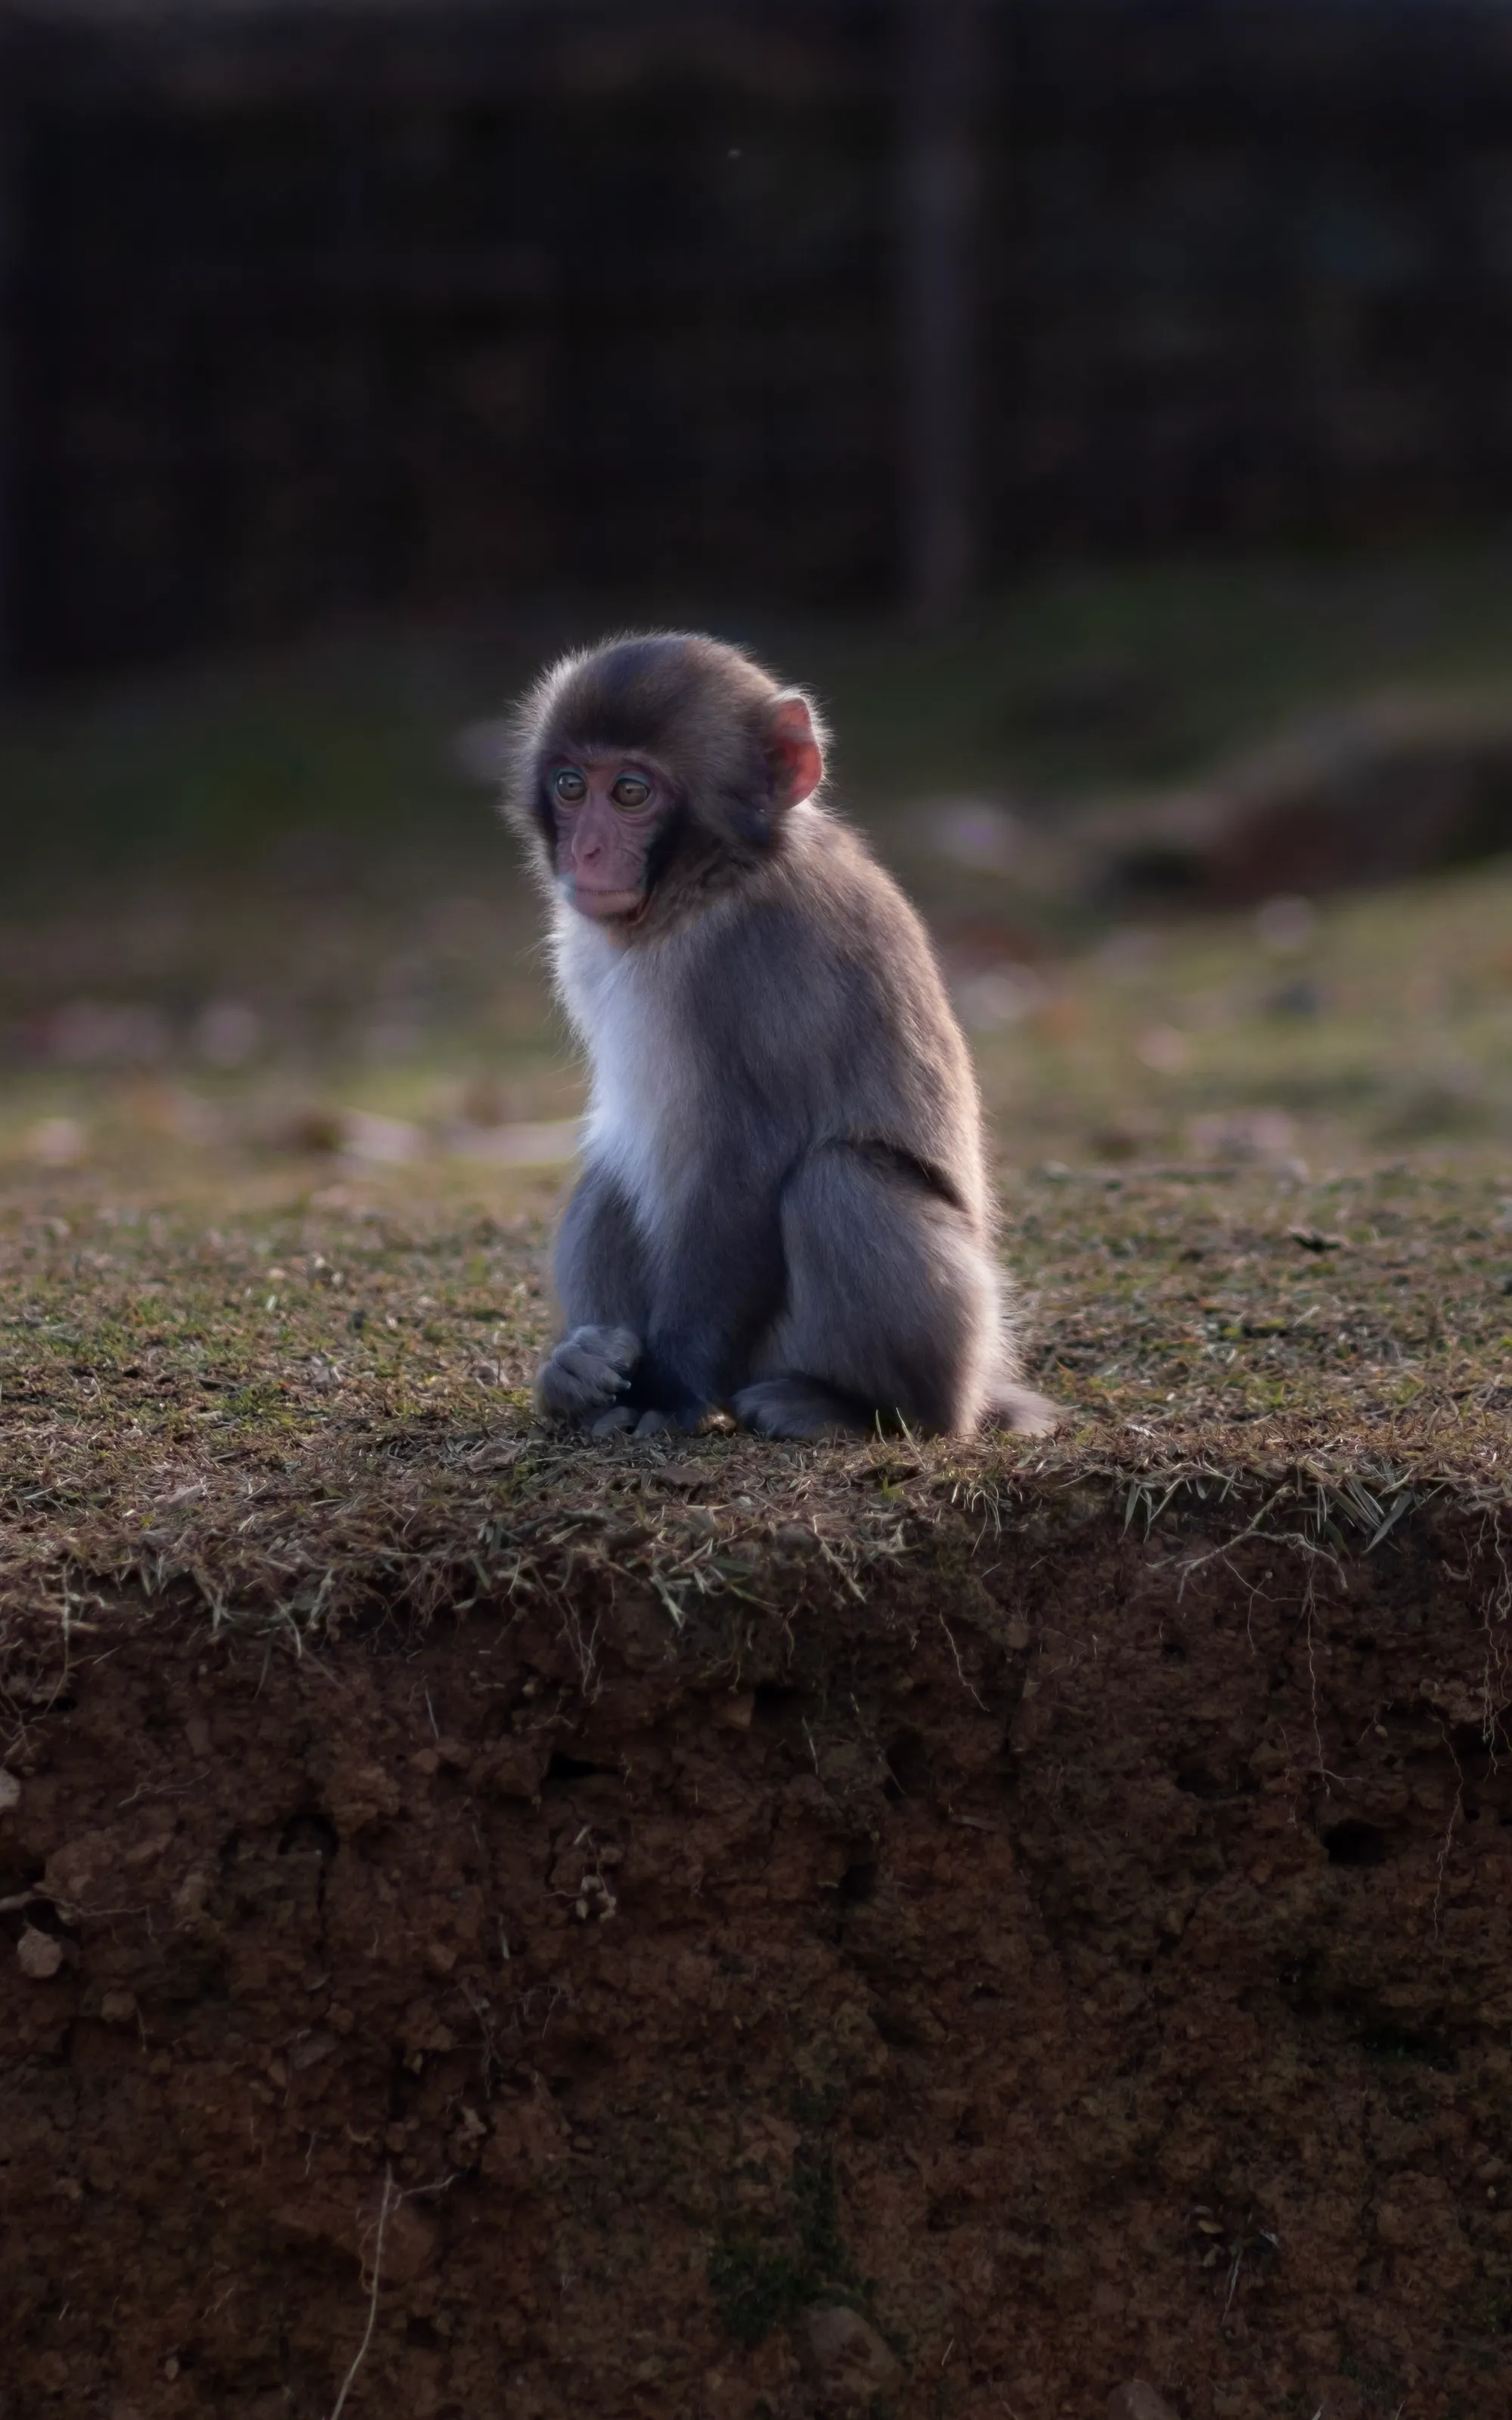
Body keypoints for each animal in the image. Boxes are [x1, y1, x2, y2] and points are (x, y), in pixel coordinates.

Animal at [503, 630, 1056, 1442]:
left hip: (897, 1345)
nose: (588, 854)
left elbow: (750, 1157)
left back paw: (860, 1408)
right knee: (615, 1170)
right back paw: (577, 1375)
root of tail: (981, 1385)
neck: (709, 886)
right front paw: (581, 1379)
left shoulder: (764, 954)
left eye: (631, 793)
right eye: (572, 787)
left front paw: (666, 1389)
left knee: (838, 1181)